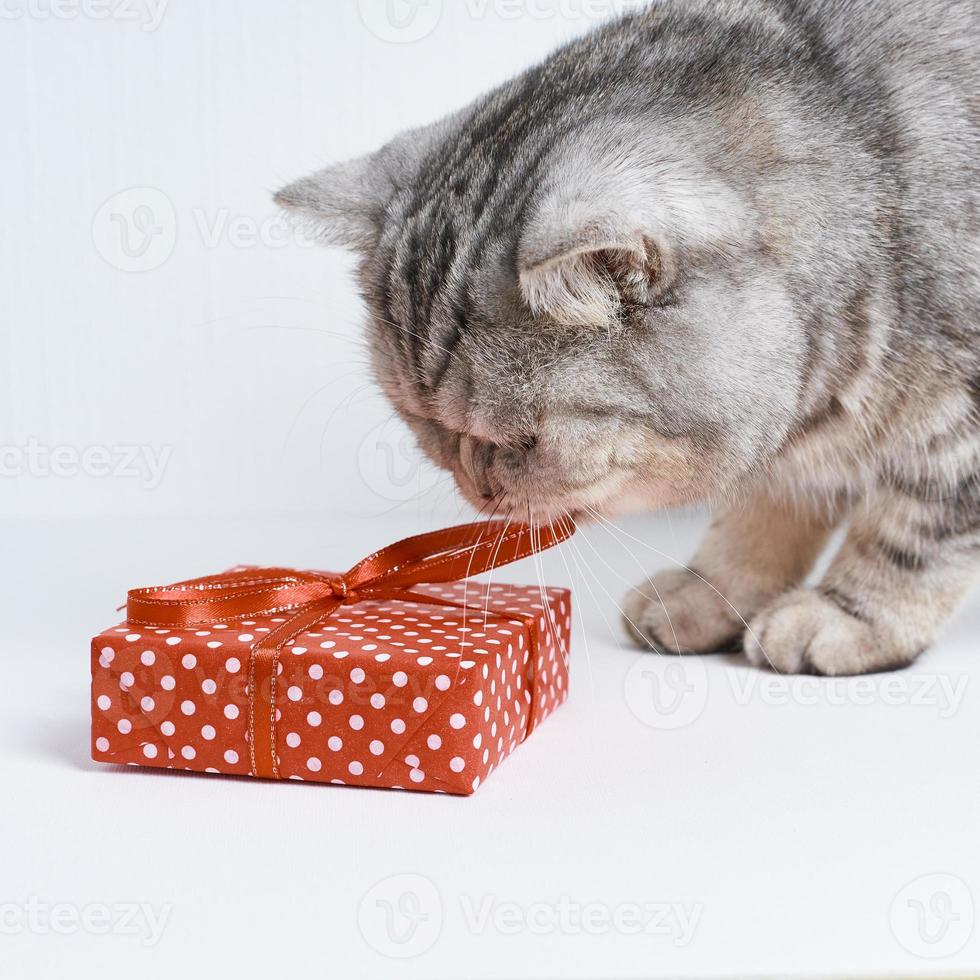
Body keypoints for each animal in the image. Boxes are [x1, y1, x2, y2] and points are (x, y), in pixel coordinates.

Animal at [276, 0, 980, 672]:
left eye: (523, 443)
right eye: (428, 432)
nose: (477, 490)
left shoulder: (956, 429)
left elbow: (913, 532)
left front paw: (850, 615)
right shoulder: (791, 451)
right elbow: (763, 513)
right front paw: (714, 592)